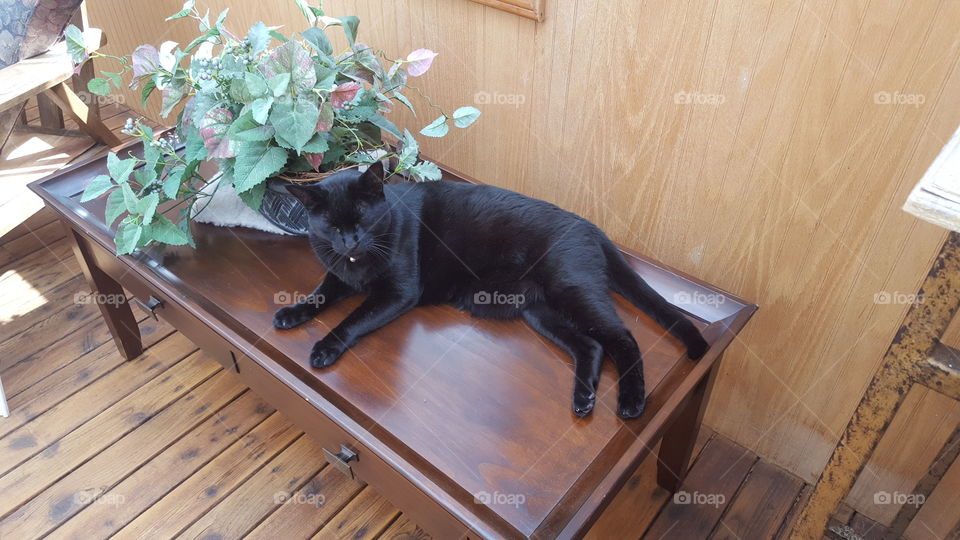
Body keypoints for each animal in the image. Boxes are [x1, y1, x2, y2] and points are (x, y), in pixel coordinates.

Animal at [274, 162, 708, 420]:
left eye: (363, 217)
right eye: (331, 225)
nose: (350, 241)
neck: (356, 264)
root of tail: (592, 227)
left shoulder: (398, 292)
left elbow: (352, 320)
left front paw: (324, 347)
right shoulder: (338, 276)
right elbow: (319, 293)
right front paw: (291, 313)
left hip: (572, 290)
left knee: (623, 338)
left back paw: (631, 401)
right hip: (539, 309)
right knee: (591, 345)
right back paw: (583, 400)